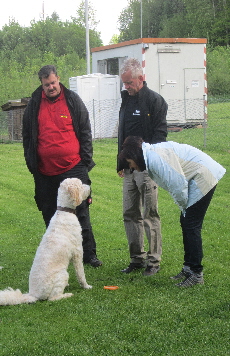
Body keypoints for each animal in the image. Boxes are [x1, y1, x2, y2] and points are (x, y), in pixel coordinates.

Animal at [1, 178, 92, 306]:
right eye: (80, 185)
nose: (89, 186)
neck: (64, 211)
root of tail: (33, 294)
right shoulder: (77, 252)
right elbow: (81, 273)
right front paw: (86, 286)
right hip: (62, 274)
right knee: (53, 298)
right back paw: (67, 295)